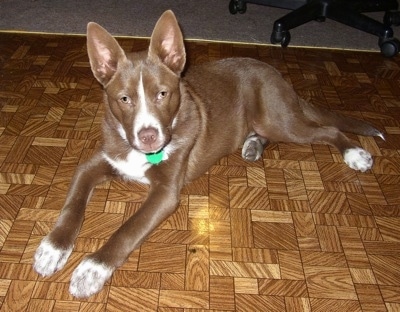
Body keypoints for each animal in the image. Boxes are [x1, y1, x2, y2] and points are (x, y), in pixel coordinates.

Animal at [32, 9, 382, 298]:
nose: (148, 137)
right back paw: (253, 144)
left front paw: (92, 269)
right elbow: (72, 206)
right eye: (124, 99)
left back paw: (354, 153)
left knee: (327, 130)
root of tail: (276, 74)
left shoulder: (165, 192)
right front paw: (52, 248)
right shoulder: (95, 163)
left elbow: (127, 230)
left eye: (163, 94)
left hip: (279, 120)